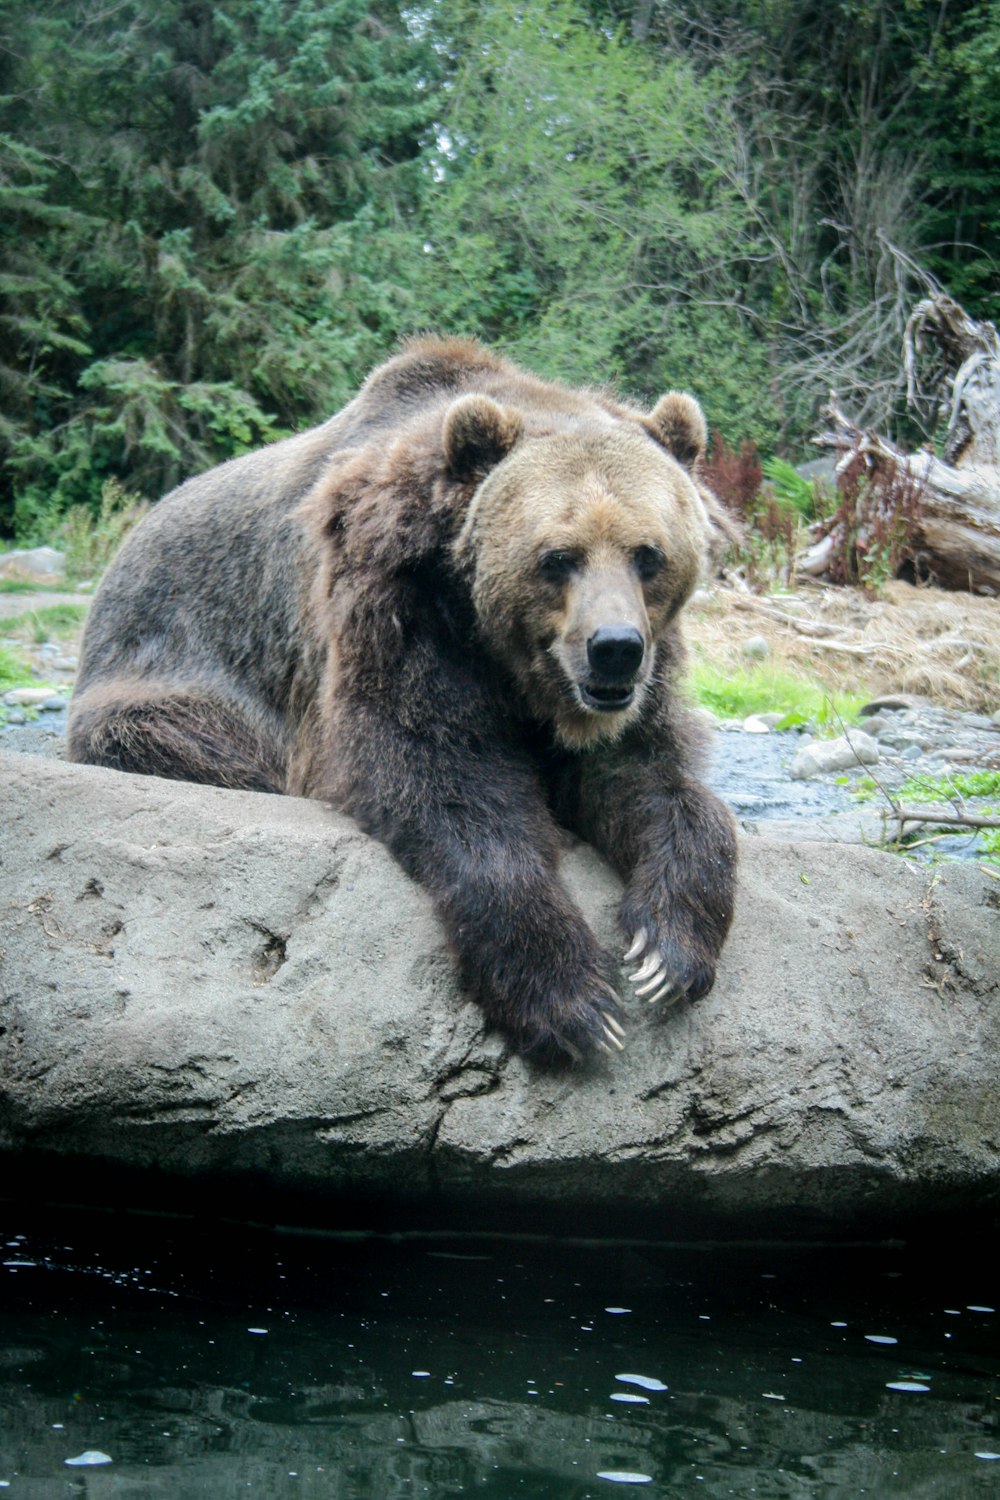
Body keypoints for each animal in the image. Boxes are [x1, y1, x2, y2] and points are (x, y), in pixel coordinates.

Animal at [68, 337, 734, 1068]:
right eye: (558, 557)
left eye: (648, 554)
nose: (614, 648)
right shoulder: (392, 603)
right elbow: (436, 774)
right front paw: (571, 1000)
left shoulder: (628, 689)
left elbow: (649, 777)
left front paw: (666, 952)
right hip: (165, 668)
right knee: (176, 738)